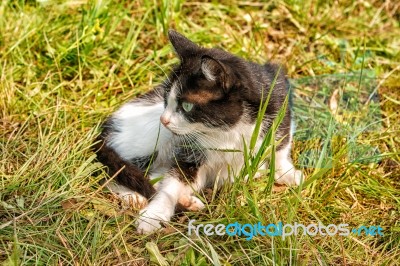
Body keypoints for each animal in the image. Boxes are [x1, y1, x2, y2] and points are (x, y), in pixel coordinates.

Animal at [94, 30, 302, 234]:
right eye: (166, 98)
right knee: (118, 170)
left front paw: (286, 172)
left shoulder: (280, 102)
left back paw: (188, 200)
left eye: (187, 106)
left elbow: (281, 145)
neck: (227, 128)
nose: (164, 119)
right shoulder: (190, 149)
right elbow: (175, 178)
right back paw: (133, 195)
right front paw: (154, 215)